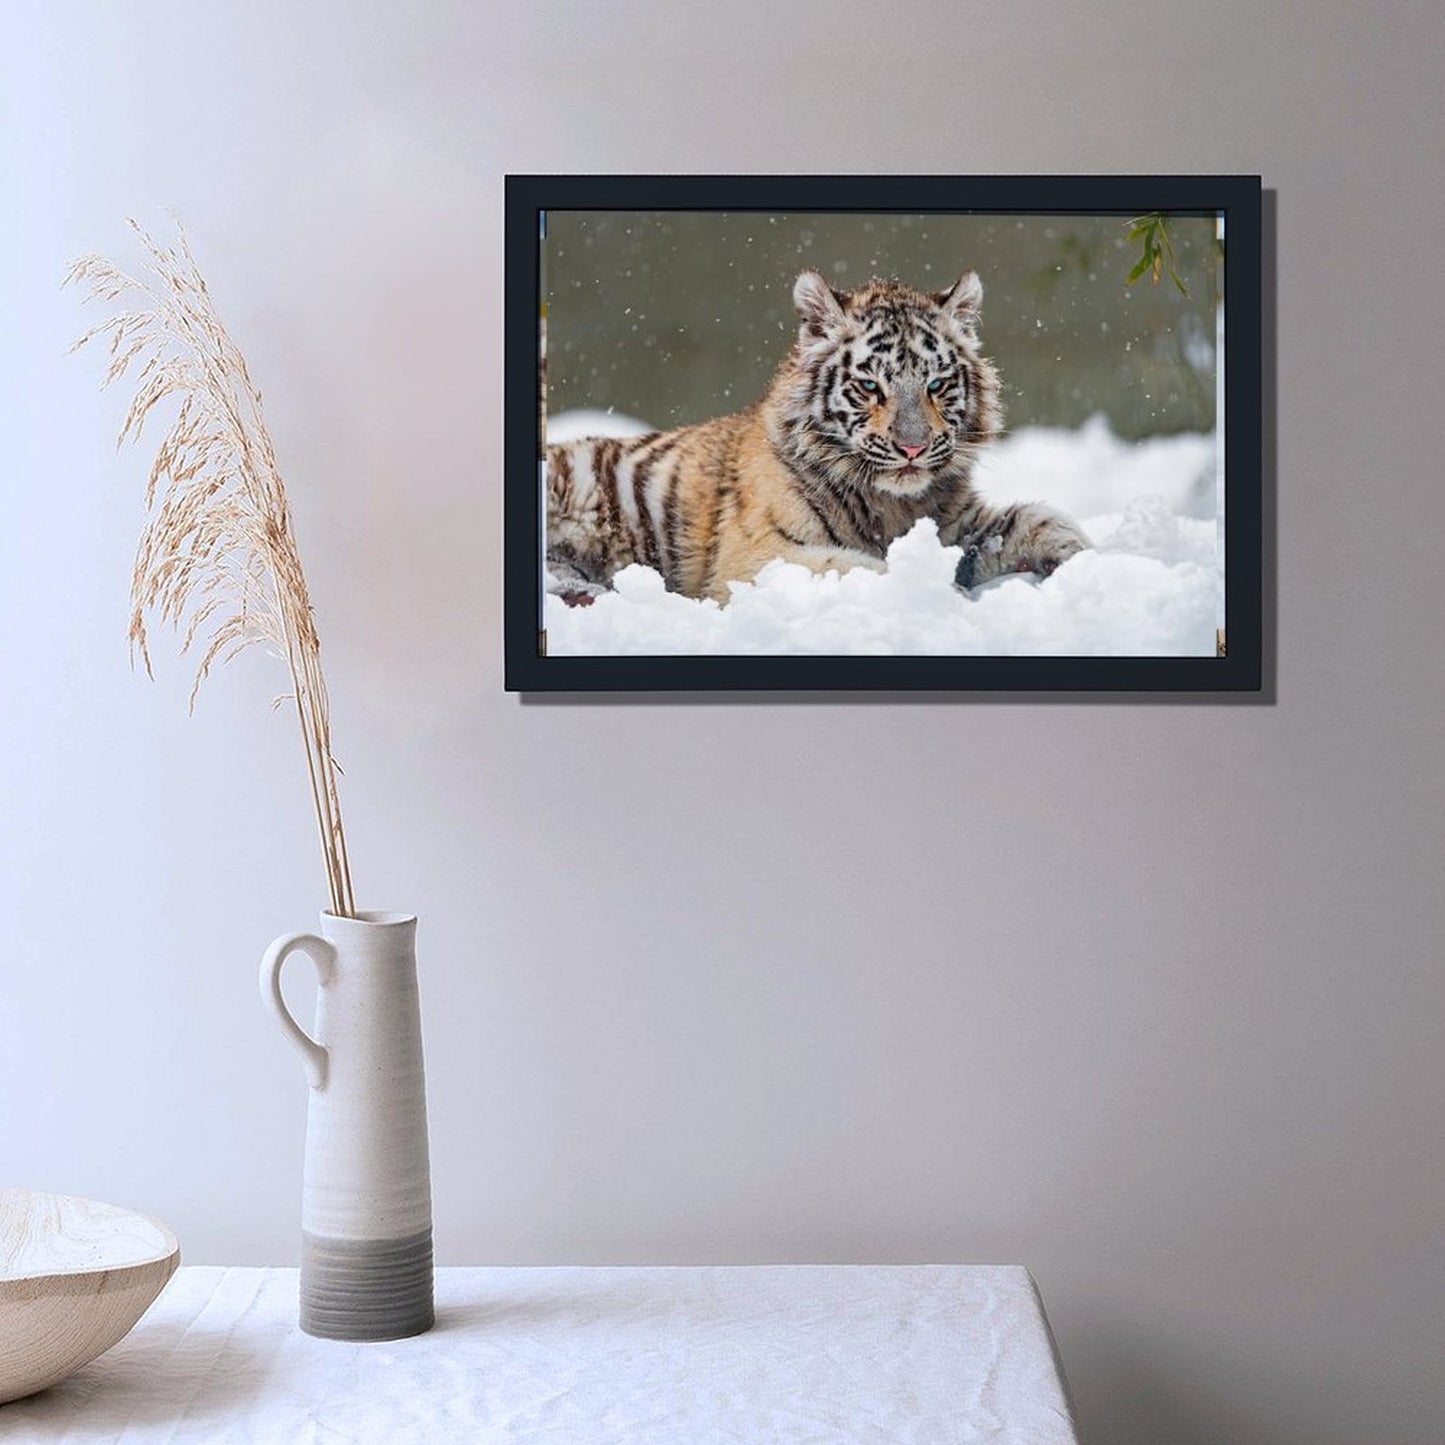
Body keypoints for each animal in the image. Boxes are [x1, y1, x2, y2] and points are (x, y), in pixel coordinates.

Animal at [545, 268, 1090, 603]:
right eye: (870, 386)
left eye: (936, 385)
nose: (912, 447)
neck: (893, 505)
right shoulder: (758, 557)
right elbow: (862, 567)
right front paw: (941, 596)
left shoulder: (959, 525)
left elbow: (1041, 522)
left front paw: (1092, 563)